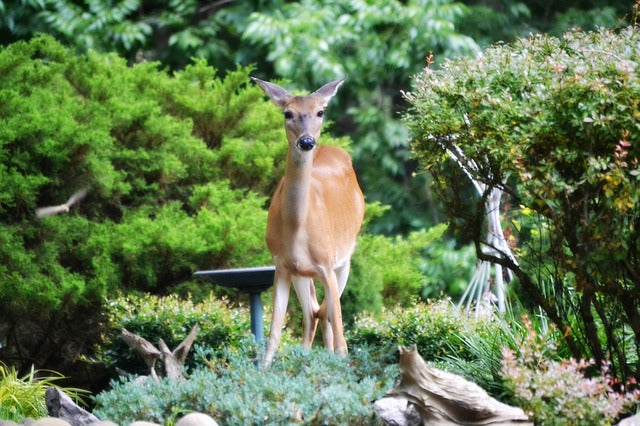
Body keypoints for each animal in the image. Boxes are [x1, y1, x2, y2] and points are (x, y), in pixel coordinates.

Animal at [252, 77, 365, 366]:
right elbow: (273, 336)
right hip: (302, 273)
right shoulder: (281, 265)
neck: (296, 228)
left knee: (326, 316)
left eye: (320, 112)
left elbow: (342, 337)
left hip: (345, 258)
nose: (306, 141)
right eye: (287, 113)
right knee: (314, 313)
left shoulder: (327, 264)